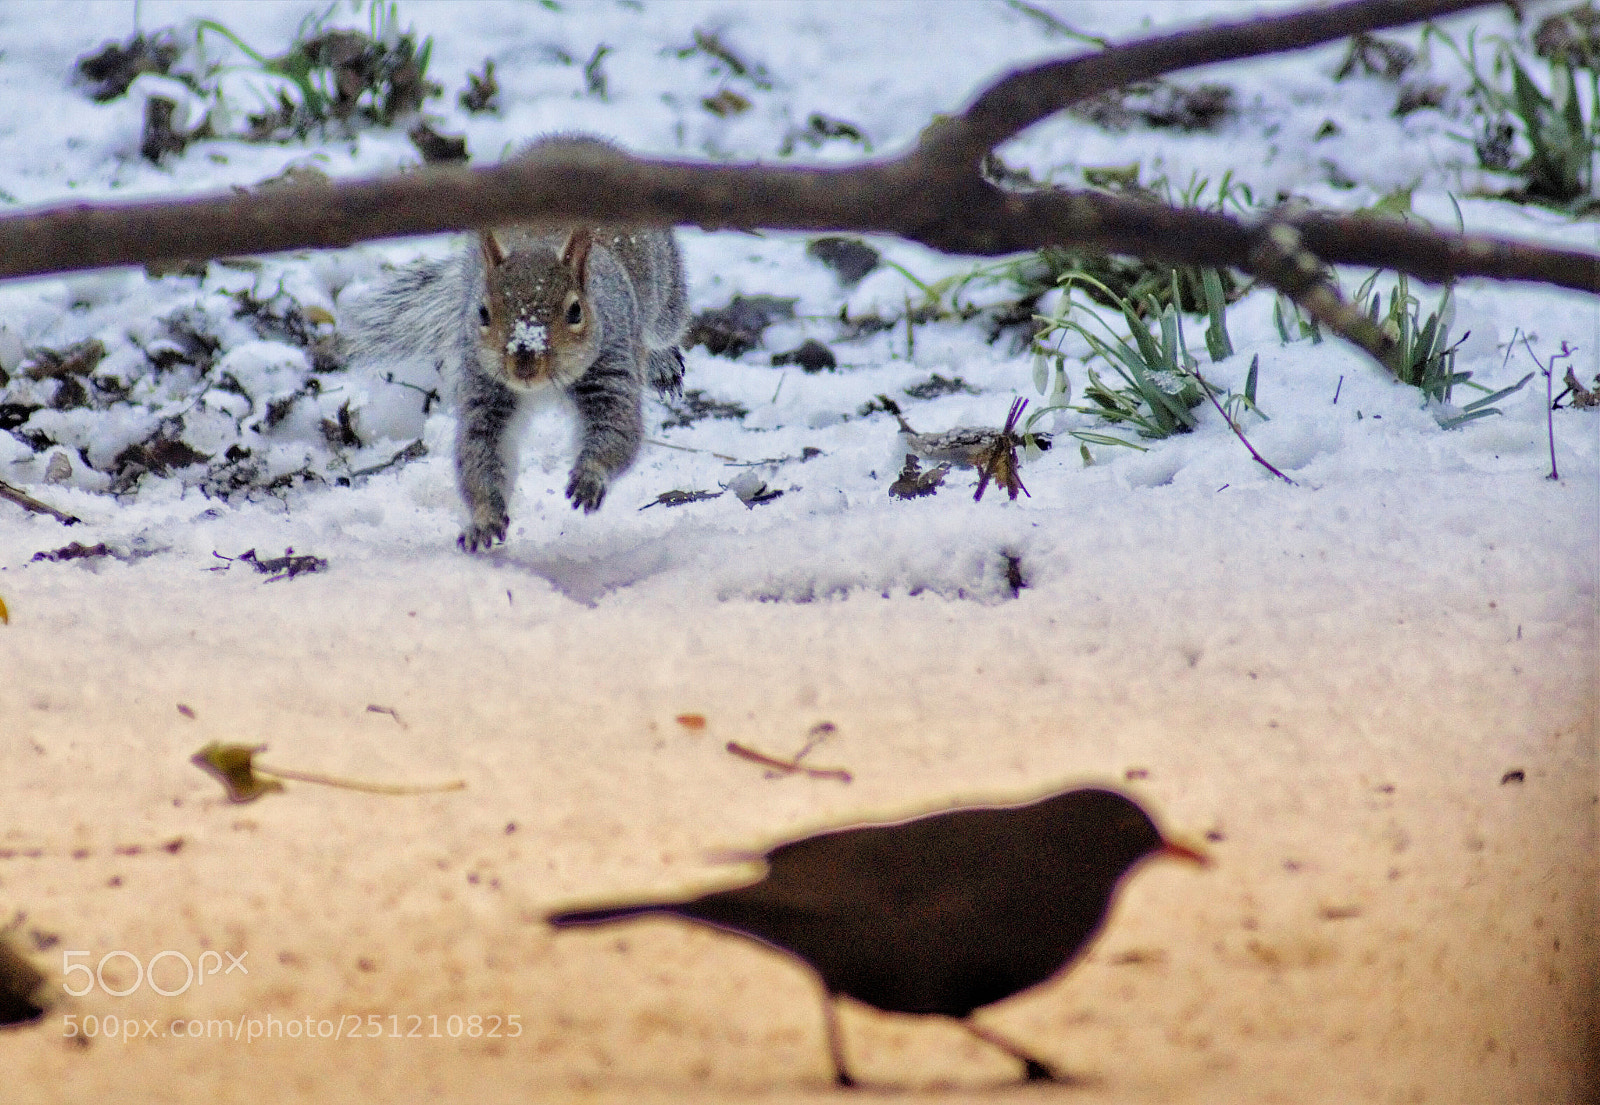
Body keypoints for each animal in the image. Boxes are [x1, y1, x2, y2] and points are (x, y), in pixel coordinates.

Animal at [342, 134, 688, 552]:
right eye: (482, 312)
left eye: (576, 311)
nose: (524, 362)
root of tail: (574, 143)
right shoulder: (486, 386)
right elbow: (482, 450)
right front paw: (484, 519)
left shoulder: (611, 362)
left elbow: (617, 428)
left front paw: (589, 478)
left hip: (667, 291)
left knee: (665, 328)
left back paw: (663, 362)